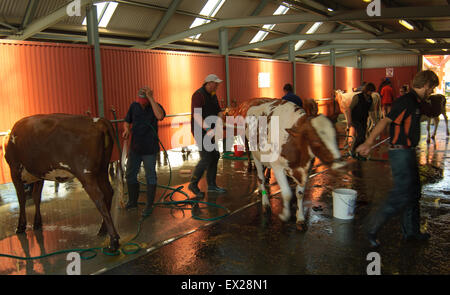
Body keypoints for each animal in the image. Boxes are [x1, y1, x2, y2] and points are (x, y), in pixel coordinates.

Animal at [4, 114, 119, 253]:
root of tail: (98, 121)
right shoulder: (40, 174)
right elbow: (37, 197)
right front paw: (37, 222)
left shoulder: (14, 169)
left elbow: (21, 198)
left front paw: (21, 226)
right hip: (102, 169)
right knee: (108, 192)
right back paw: (103, 230)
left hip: (86, 174)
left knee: (99, 198)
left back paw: (114, 241)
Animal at [232, 98, 344, 230]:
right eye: (316, 141)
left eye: (335, 136)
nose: (340, 164)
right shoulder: (277, 167)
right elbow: (286, 194)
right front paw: (285, 215)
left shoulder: (306, 168)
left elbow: (300, 194)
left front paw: (300, 219)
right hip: (256, 155)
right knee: (260, 178)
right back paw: (265, 203)